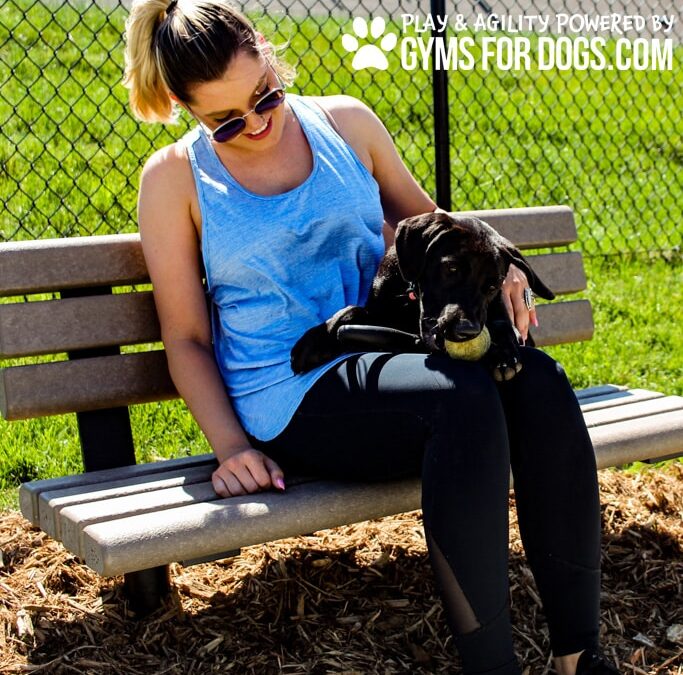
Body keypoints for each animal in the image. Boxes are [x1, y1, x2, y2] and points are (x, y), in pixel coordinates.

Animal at [290, 211, 555, 381]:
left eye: (493, 285)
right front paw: (318, 338)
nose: (466, 330)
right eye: (452, 268)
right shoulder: (378, 313)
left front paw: (503, 354)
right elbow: (350, 310)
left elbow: (502, 325)